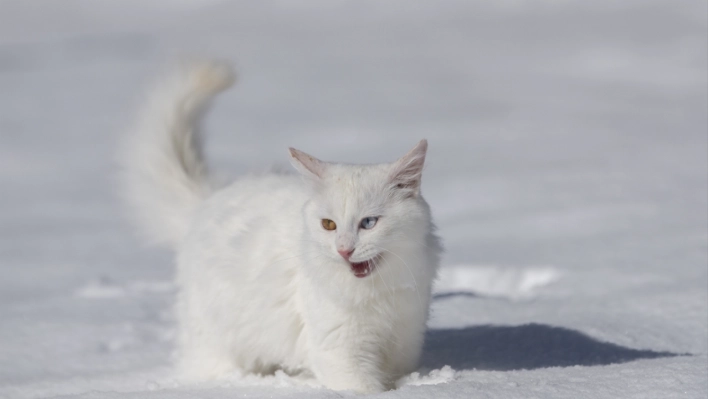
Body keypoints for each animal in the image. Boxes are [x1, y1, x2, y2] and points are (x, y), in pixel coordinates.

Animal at [121, 61, 442, 394]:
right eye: (329, 224)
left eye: (368, 223)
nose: (344, 249)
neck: (379, 294)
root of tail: (210, 198)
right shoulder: (340, 351)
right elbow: (364, 388)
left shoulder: (404, 342)